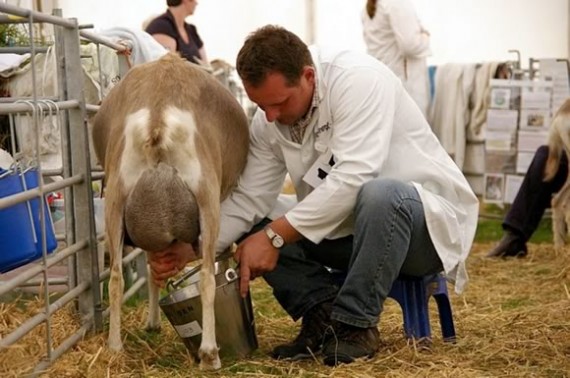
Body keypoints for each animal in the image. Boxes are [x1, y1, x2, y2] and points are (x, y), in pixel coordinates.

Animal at [91, 51, 248, 368]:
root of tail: (158, 114)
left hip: (116, 198)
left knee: (115, 277)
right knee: (207, 278)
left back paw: (114, 346)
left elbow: (152, 268)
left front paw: (151, 322)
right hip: (207, 198)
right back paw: (210, 353)